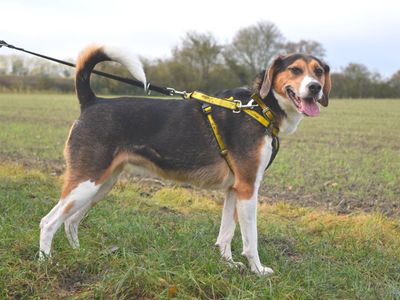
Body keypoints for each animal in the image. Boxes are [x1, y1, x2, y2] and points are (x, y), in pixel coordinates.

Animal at [39, 45, 332, 276]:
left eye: (318, 71)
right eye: (295, 70)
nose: (315, 88)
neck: (258, 107)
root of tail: (92, 101)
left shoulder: (233, 189)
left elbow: (226, 235)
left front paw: (227, 265)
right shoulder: (249, 188)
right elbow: (251, 240)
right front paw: (257, 270)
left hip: (100, 186)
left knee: (70, 222)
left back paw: (79, 254)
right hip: (86, 183)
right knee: (49, 222)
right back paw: (46, 263)